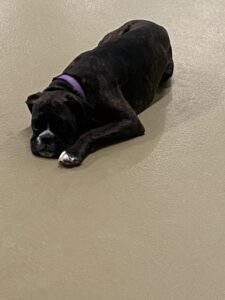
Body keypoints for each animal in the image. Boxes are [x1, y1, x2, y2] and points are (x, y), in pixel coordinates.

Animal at [25, 19, 174, 168]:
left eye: (62, 126)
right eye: (35, 125)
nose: (46, 138)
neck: (77, 82)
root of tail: (155, 24)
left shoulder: (130, 120)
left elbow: (92, 132)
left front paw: (72, 153)